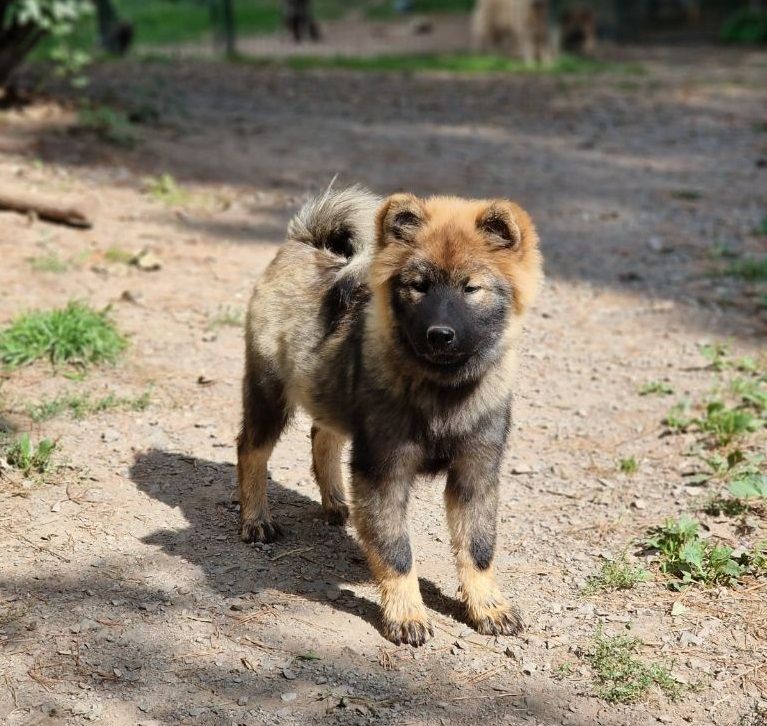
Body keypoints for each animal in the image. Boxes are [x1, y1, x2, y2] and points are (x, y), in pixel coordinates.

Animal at [237, 185, 544, 644]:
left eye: (471, 288)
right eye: (419, 286)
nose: (440, 334)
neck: (443, 391)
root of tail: (306, 242)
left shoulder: (476, 470)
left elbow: (478, 547)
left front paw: (488, 605)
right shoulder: (384, 470)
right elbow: (397, 552)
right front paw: (406, 614)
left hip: (327, 390)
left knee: (322, 435)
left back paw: (334, 501)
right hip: (269, 392)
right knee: (251, 450)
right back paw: (256, 520)